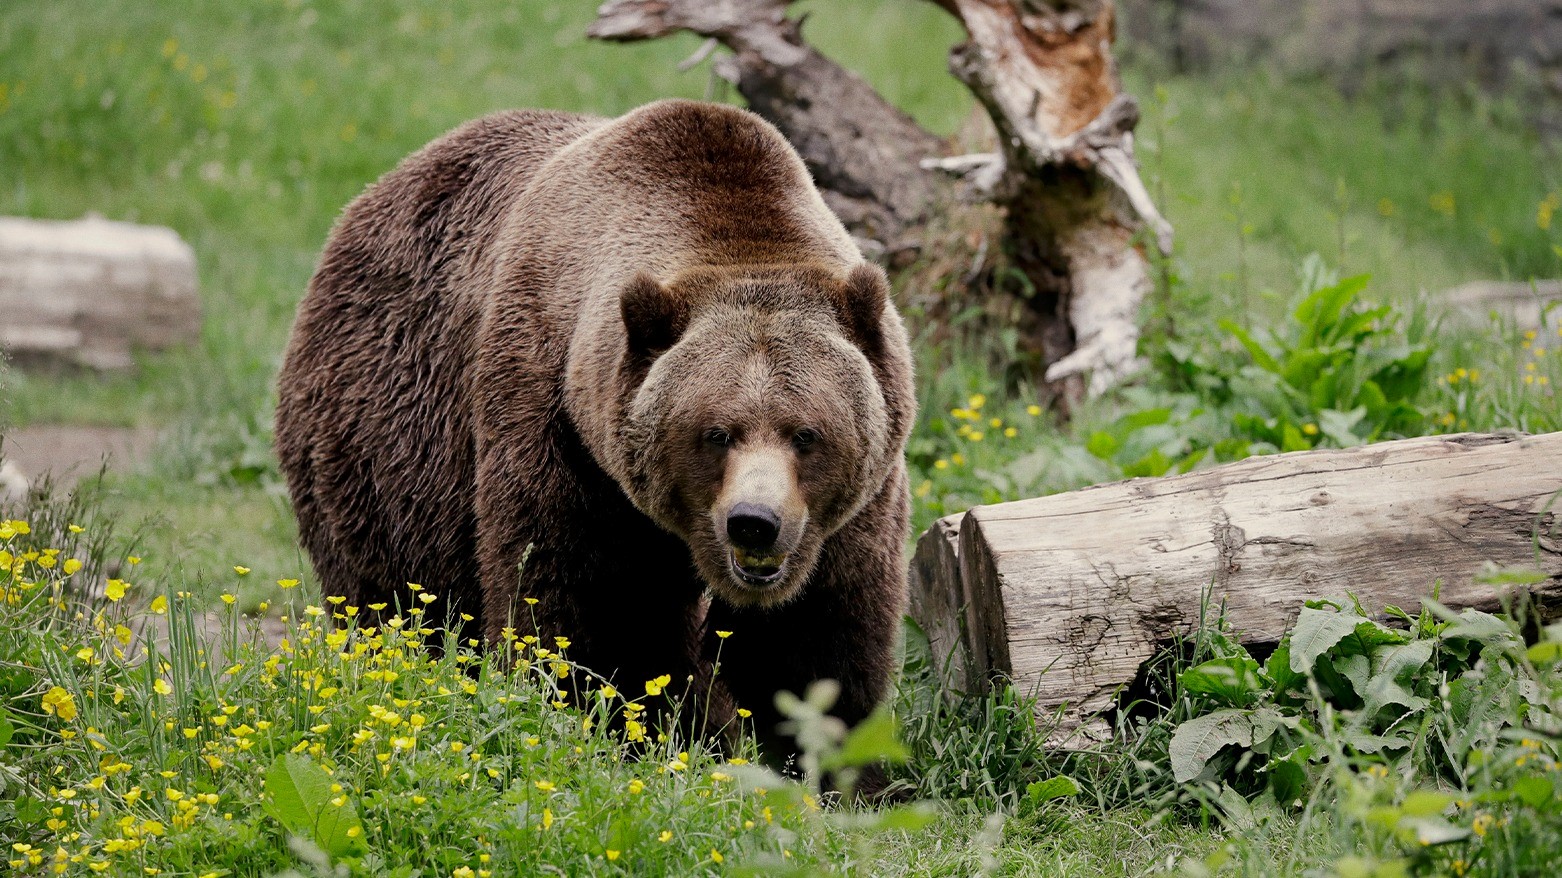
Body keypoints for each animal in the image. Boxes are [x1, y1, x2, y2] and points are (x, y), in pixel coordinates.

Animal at [278, 97, 912, 753]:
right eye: (715, 433)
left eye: (806, 433)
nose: (754, 523)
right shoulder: (558, 428)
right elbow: (585, 610)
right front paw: (621, 724)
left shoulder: (854, 507)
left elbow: (818, 639)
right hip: (387, 441)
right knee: (397, 595)